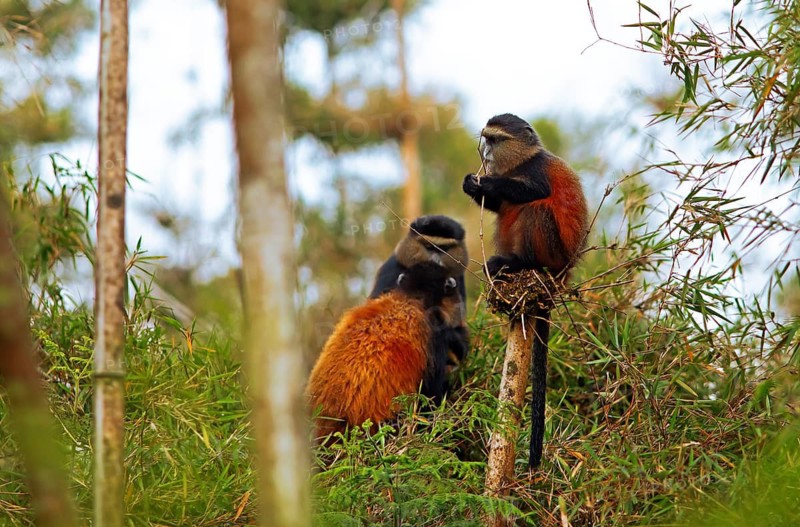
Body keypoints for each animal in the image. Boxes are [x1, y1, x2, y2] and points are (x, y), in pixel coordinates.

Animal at [461, 113, 589, 469]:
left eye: (496, 140)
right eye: (486, 139)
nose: (486, 156)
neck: (523, 159)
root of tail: (562, 274)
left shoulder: (535, 170)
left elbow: (534, 190)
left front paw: (487, 184)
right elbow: (497, 205)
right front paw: (471, 185)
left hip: (553, 254)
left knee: (536, 208)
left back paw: (519, 263)